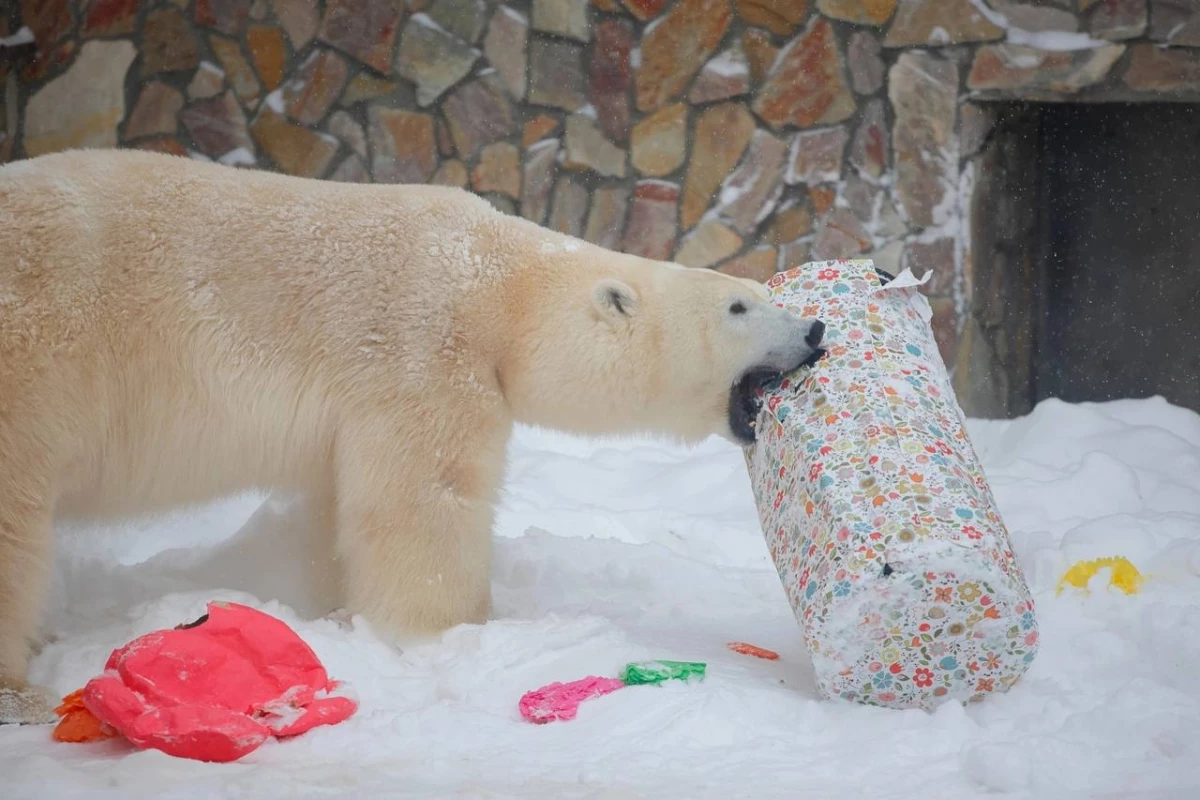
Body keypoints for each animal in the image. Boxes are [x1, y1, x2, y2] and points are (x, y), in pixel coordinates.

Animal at [0, 149, 825, 724]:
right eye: (740, 307)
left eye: (759, 294)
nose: (815, 330)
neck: (500, 285)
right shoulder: (421, 349)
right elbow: (424, 500)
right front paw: (447, 635)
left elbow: (335, 506)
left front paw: (332, 615)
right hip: (35, 361)